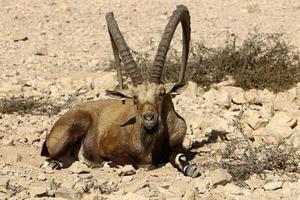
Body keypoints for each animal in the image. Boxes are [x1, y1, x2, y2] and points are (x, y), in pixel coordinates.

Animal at [39, 4, 199, 177]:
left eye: (161, 94)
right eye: (134, 97)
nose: (149, 118)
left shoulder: (176, 146)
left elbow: (180, 158)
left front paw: (190, 168)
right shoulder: (111, 149)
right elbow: (130, 161)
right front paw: (108, 163)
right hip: (74, 129)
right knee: (49, 161)